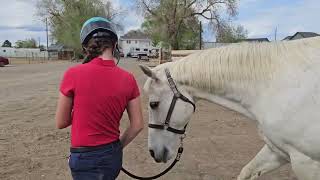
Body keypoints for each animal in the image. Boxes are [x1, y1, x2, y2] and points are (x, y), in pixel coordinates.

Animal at [141, 36, 320, 180]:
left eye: (153, 104)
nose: (152, 153)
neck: (273, 84)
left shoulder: (305, 161)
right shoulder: (277, 151)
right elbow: (247, 171)